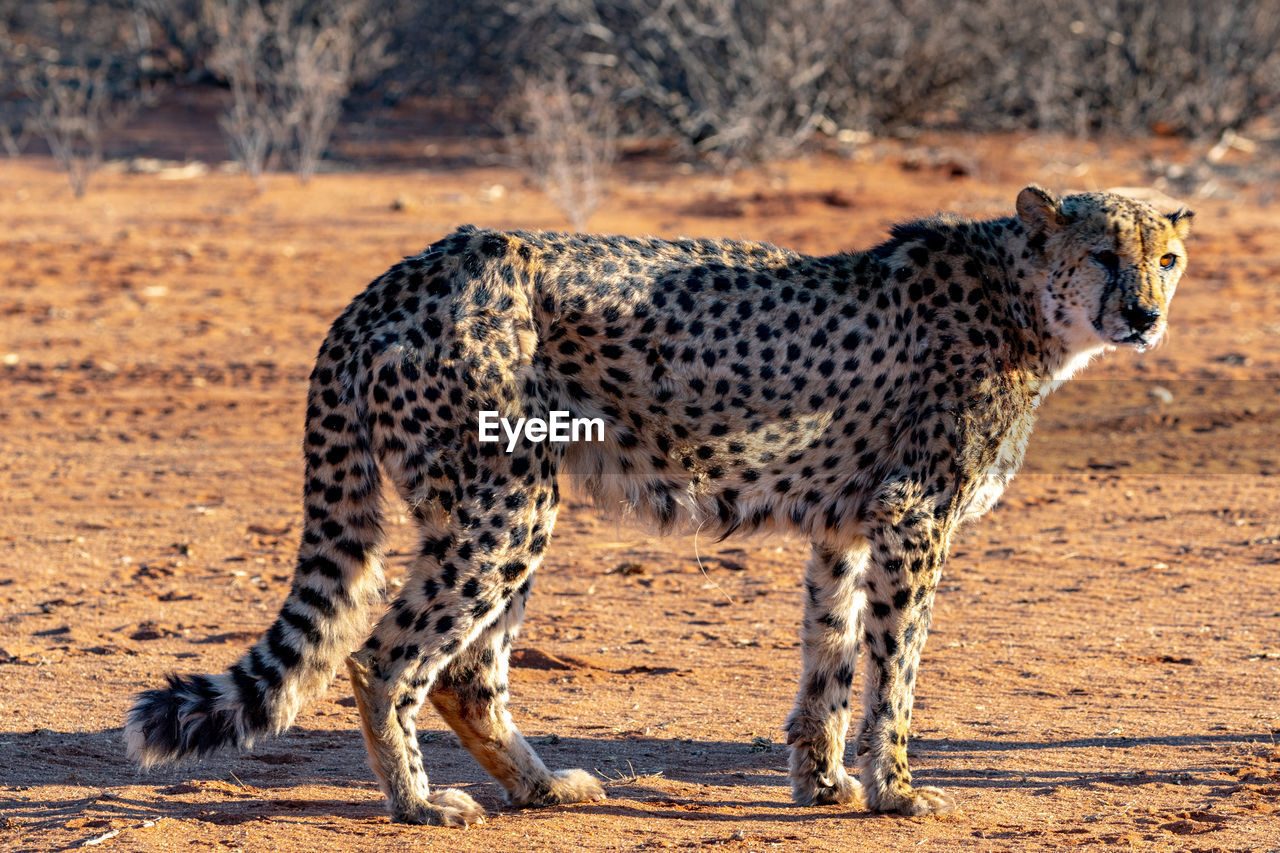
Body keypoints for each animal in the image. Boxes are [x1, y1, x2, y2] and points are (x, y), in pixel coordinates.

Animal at [124, 185, 1192, 824]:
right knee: (385, 656)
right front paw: (893, 788)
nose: (1144, 313)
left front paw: (825, 780)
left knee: (465, 669)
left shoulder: (848, 524)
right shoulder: (913, 517)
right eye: (1104, 252)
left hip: (502, 504)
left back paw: (543, 786)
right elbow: (895, 668)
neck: (1023, 298)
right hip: (504, 501)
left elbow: (831, 657)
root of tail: (403, 274)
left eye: (1166, 257)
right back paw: (421, 805)